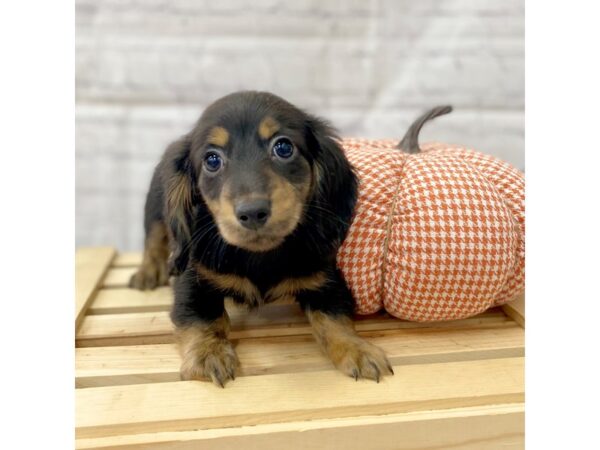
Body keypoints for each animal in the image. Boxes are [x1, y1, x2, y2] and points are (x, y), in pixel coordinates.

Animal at [130, 91, 394, 386]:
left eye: (283, 147)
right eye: (212, 160)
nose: (253, 212)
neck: (260, 257)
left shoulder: (323, 279)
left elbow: (335, 320)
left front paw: (357, 349)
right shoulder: (194, 279)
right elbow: (202, 318)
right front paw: (209, 353)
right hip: (155, 212)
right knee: (154, 239)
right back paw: (147, 273)